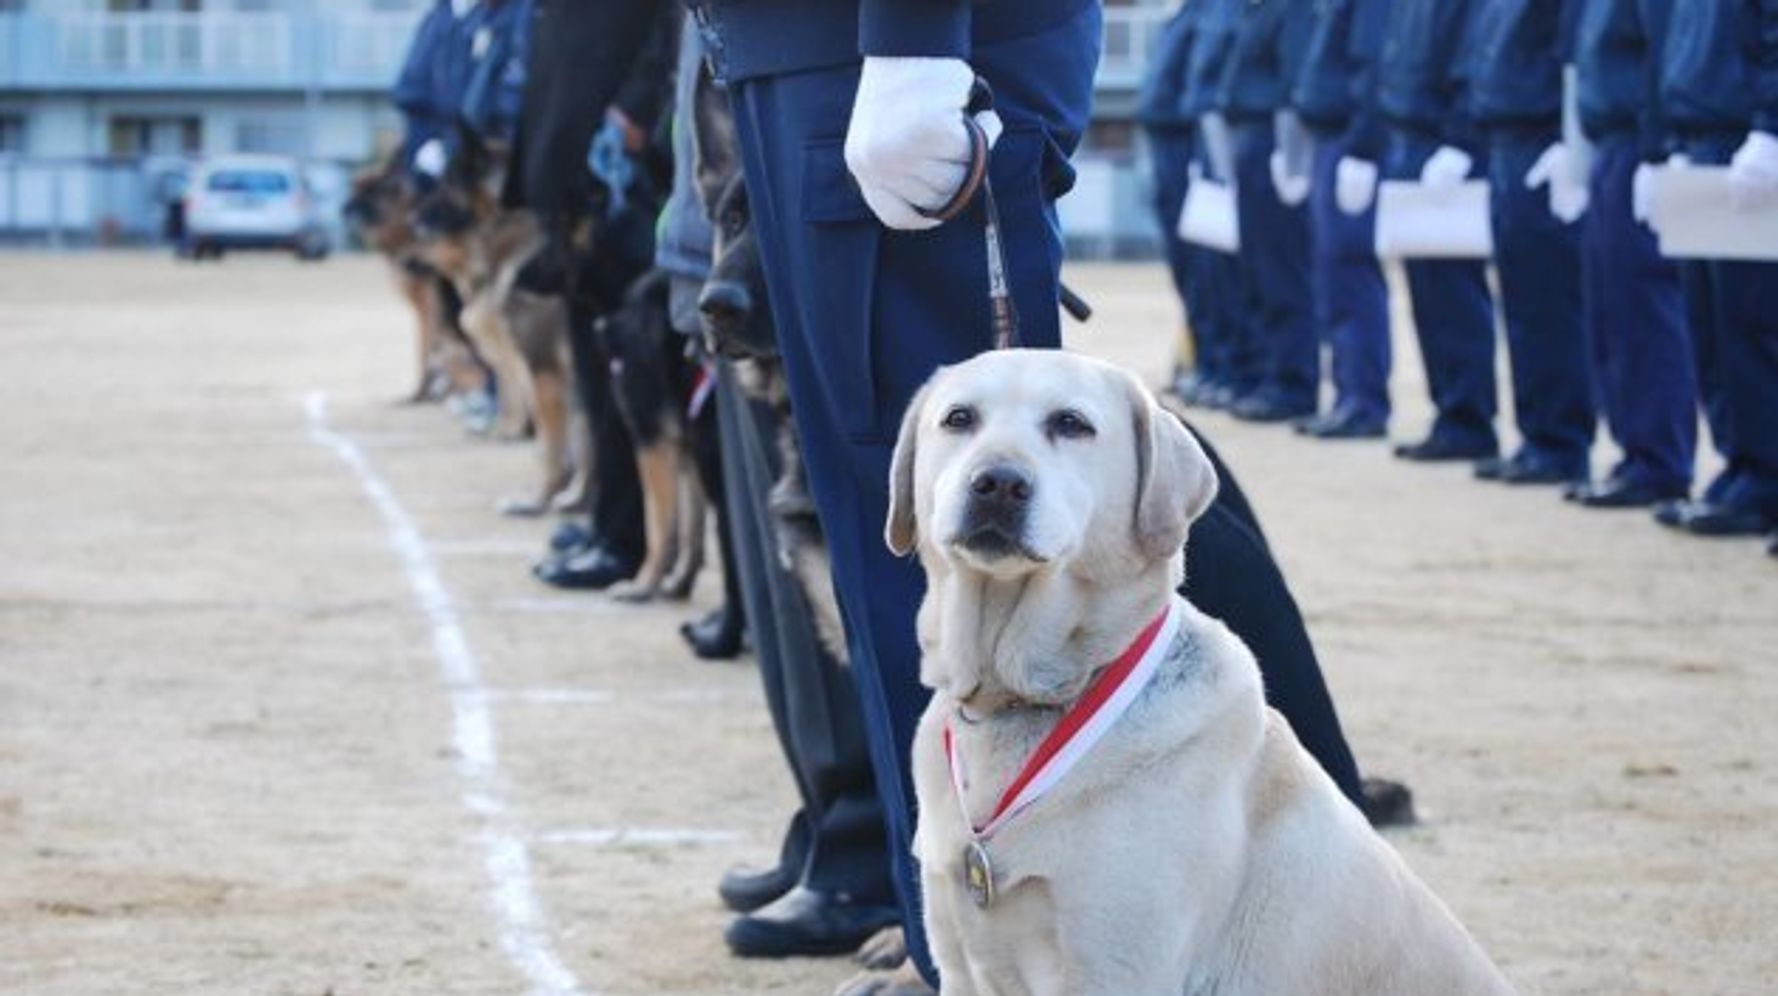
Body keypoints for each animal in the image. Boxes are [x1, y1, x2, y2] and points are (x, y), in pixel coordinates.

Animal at [341, 155, 487, 405]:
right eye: (355, 190)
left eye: (369, 193)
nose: (344, 208)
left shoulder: (428, 308)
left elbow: (424, 353)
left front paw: (420, 394)